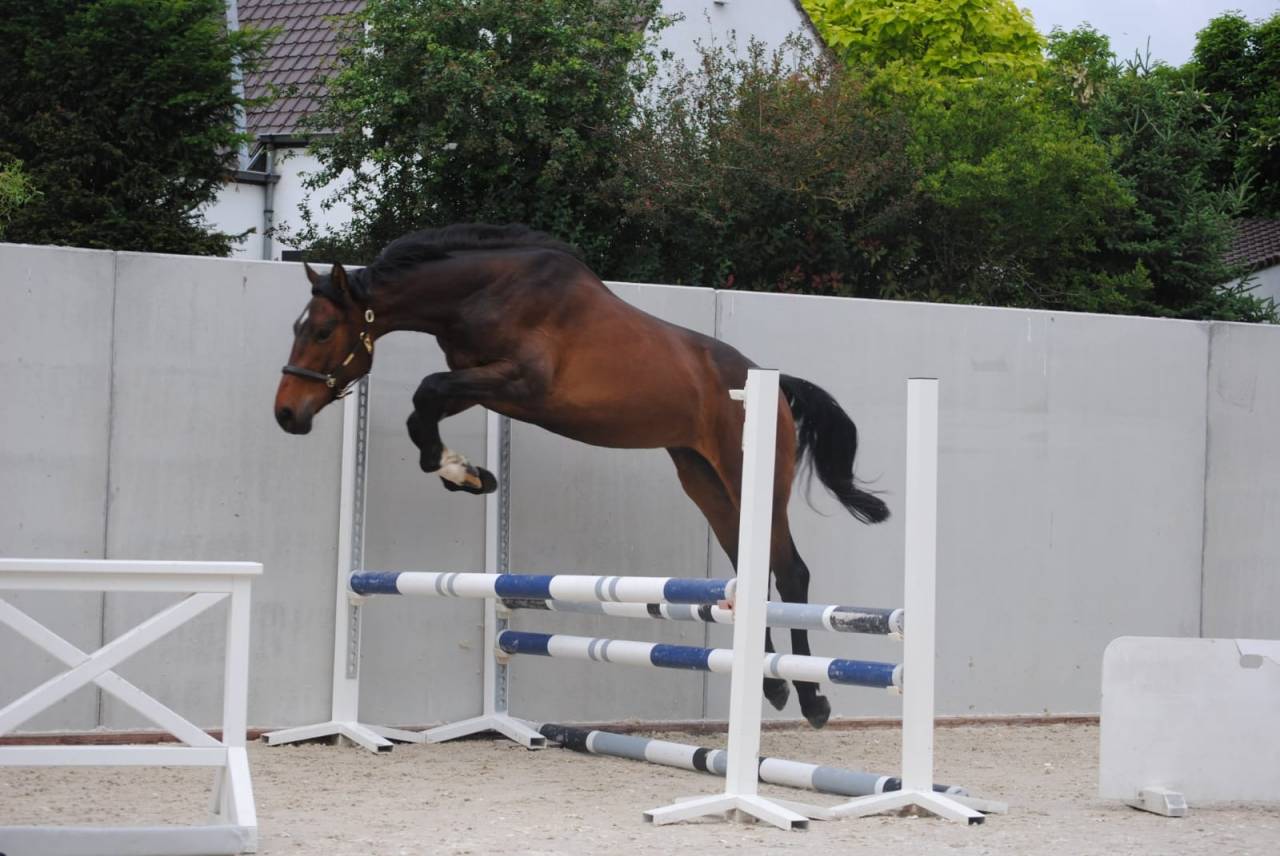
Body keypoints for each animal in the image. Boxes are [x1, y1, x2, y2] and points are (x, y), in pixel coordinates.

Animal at [274, 224, 889, 728]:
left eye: (323, 331)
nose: (286, 414)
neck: (486, 292)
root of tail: (772, 381)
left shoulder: (520, 383)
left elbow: (425, 392)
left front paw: (460, 472)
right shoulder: (481, 382)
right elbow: (422, 409)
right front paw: (468, 475)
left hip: (750, 477)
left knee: (789, 571)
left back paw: (812, 698)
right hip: (703, 479)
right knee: (749, 568)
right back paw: (772, 685)